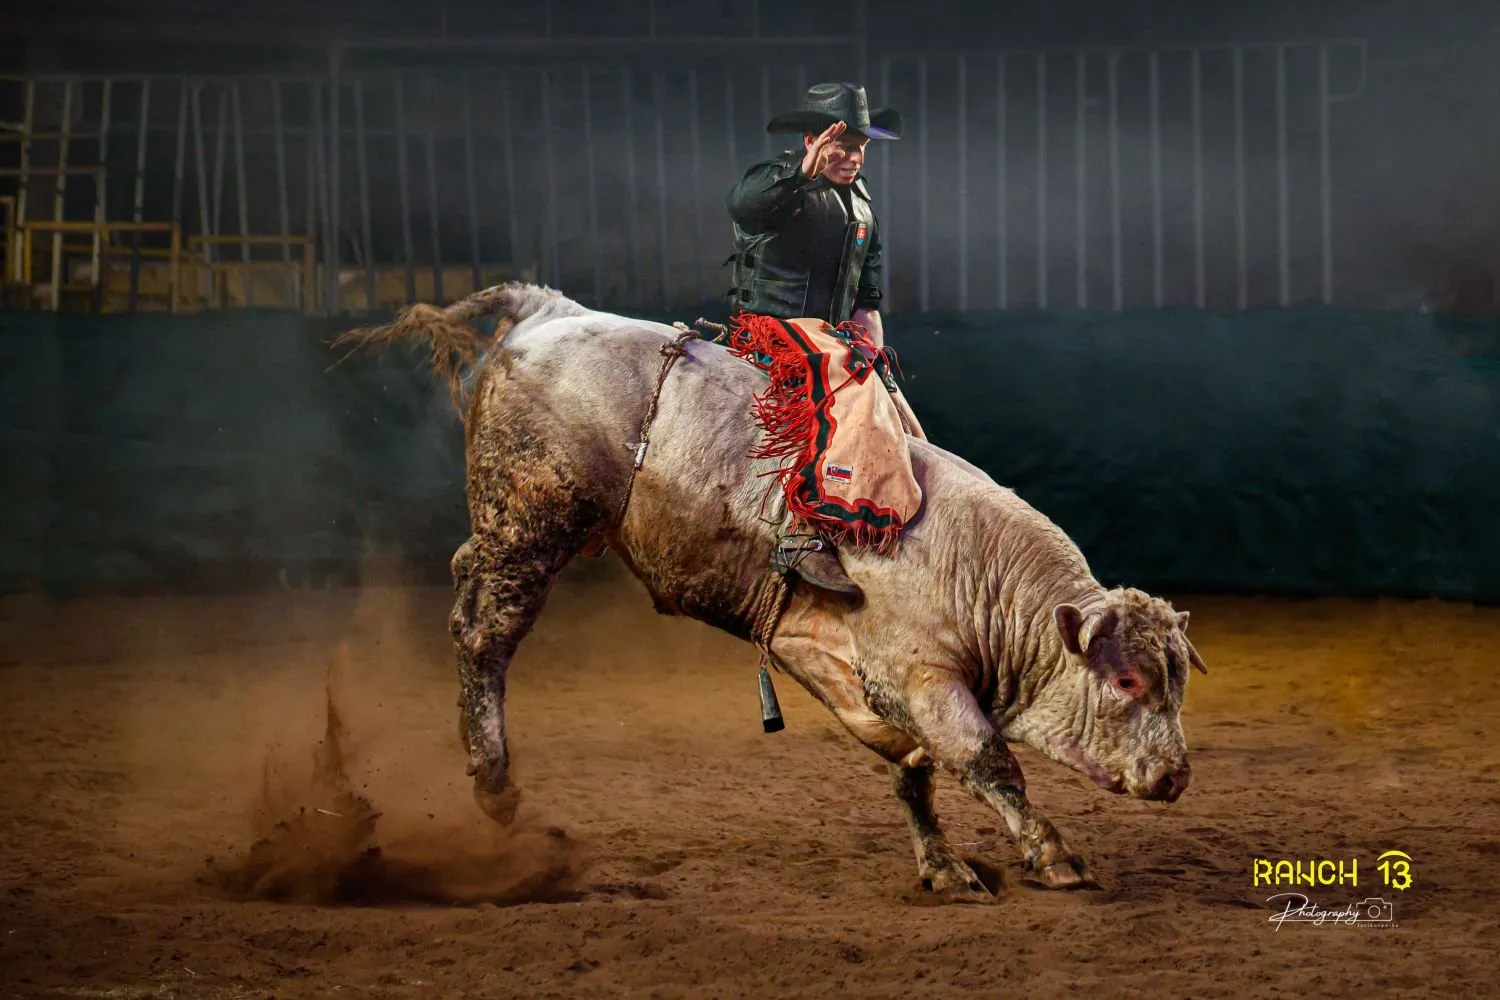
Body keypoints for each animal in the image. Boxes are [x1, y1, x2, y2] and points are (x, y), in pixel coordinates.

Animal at [338, 282, 1209, 898]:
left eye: (1176, 683)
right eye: (1126, 682)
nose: (1176, 777)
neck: (981, 570)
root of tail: (549, 309)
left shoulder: (845, 668)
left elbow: (913, 769)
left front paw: (942, 867)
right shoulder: (922, 677)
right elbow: (985, 758)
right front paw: (1055, 857)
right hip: (531, 520)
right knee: (484, 630)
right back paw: (493, 780)